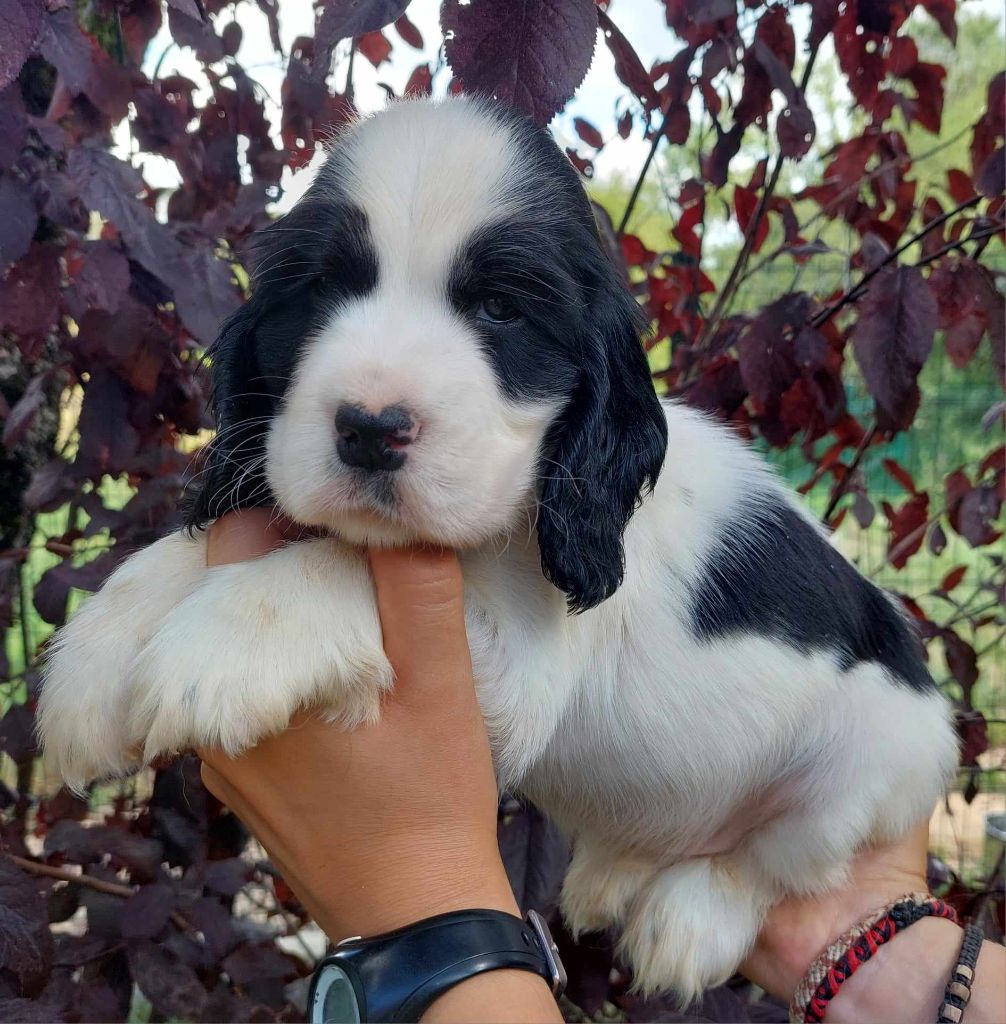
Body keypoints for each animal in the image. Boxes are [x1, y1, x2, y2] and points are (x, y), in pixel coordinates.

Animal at [39, 97, 958, 999]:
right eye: (322, 290)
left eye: (502, 310)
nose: (370, 429)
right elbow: (190, 558)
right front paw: (93, 664)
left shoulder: (519, 660)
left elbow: (341, 564)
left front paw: (220, 645)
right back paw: (612, 873)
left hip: (872, 759)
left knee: (775, 862)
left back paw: (688, 921)